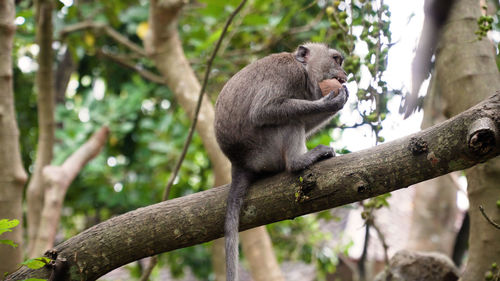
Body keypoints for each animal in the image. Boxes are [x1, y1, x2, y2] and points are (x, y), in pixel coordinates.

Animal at [214, 42, 348, 280]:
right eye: (336, 60)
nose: (345, 74)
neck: (303, 69)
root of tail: (239, 162)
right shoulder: (288, 74)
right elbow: (263, 110)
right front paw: (330, 102)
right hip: (265, 151)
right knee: (289, 120)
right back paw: (300, 161)